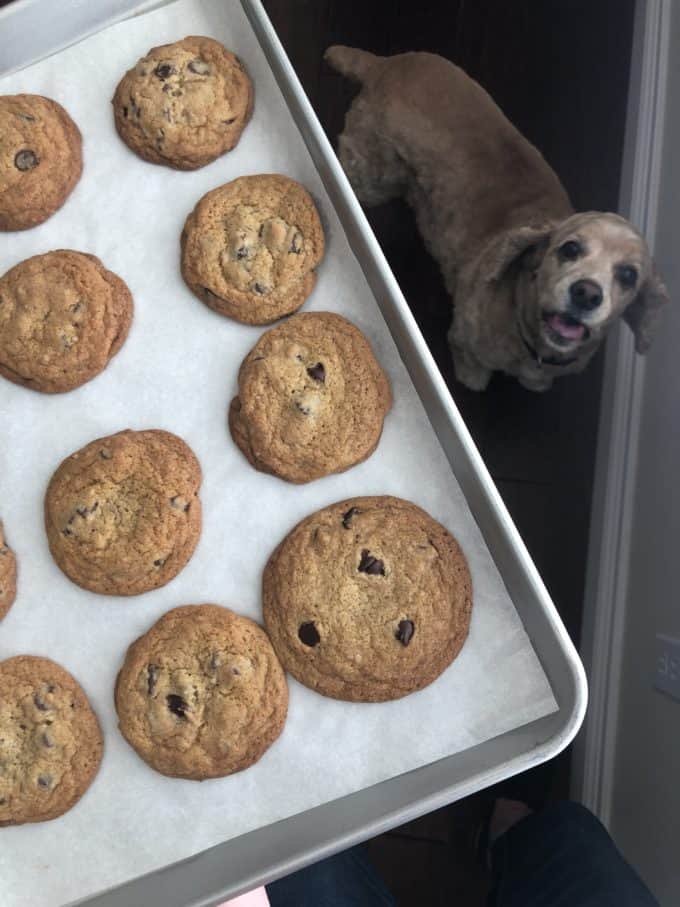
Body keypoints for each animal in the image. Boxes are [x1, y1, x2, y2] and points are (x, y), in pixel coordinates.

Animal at [326, 48, 668, 390]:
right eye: (569, 249)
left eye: (628, 275)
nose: (586, 293)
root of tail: (385, 64)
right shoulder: (466, 339)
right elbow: (472, 371)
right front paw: (471, 381)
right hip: (371, 171)